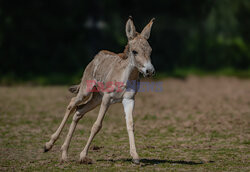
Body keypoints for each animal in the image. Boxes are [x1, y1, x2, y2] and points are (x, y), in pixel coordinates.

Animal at [44, 17, 155, 164]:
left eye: (150, 51)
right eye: (135, 51)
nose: (149, 71)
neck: (126, 77)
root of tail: (95, 58)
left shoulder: (128, 100)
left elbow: (130, 124)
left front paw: (135, 156)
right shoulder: (107, 98)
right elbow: (97, 125)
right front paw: (83, 155)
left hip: (96, 98)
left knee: (78, 111)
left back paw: (64, 153)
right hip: (86, 91)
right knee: (72, 104)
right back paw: (48, 145)